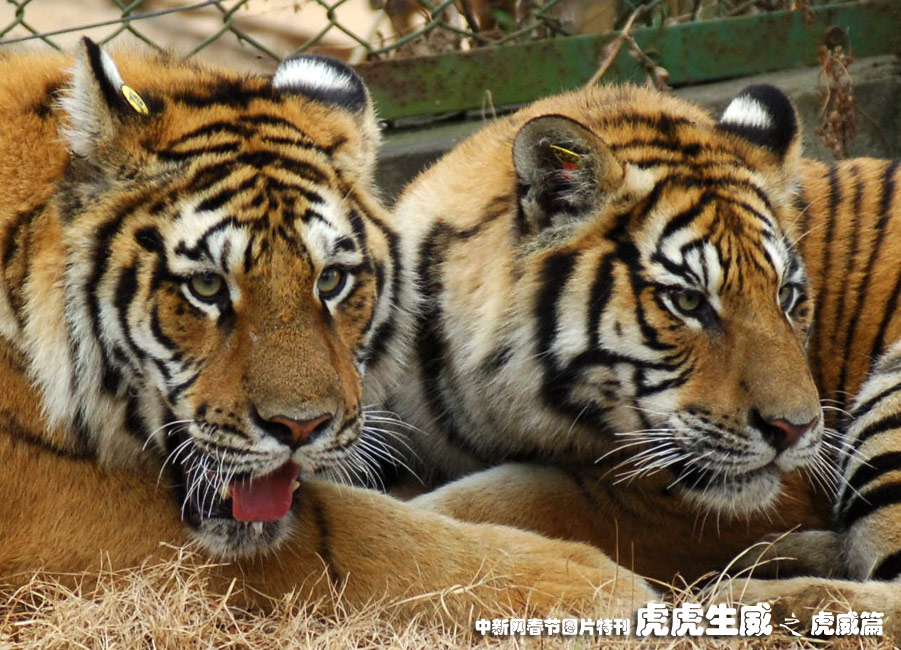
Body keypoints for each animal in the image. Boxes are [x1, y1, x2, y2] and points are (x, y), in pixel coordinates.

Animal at [0, 38, 657, 620]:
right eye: (207, 287)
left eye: (332, 280)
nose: (300, 428)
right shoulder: (72, 502)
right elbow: (363, 536)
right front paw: (597, 584)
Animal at [369, 82, 901, 631]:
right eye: (687, 301)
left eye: (786, 295)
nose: (796, 430)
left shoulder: (672, 503)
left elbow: (510, 498)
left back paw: (743, 598)